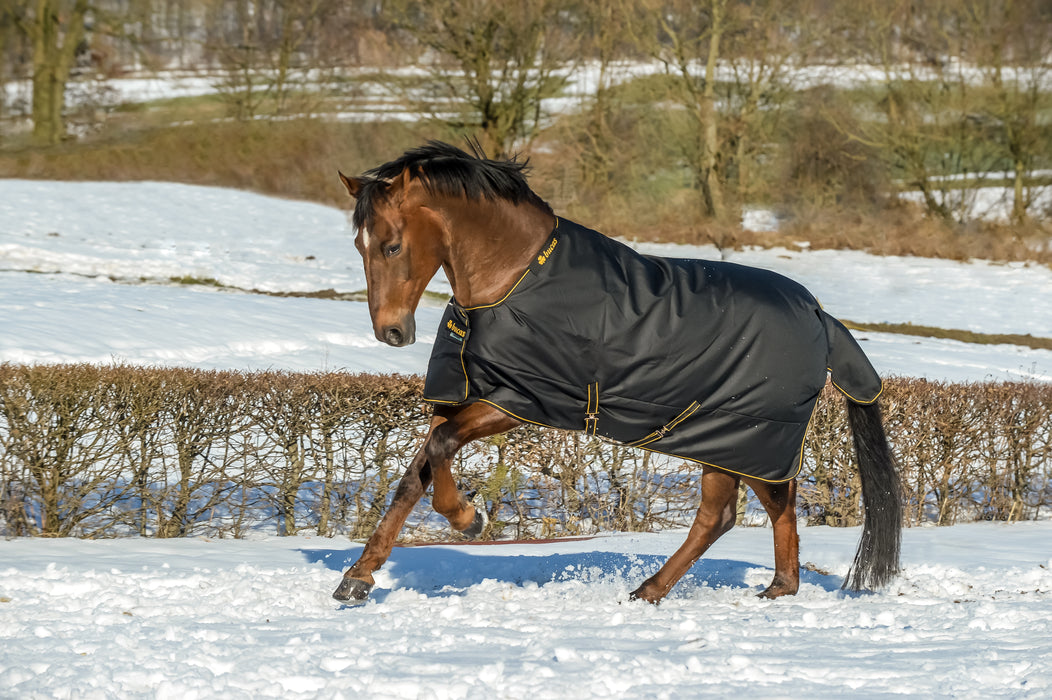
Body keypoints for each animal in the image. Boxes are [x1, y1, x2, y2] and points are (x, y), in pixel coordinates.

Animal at [333, 141, 902, 605]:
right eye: (359, 245)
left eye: (391, 245)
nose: (391, 332)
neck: (514, 278)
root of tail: (821, 317)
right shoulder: (462, 397)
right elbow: (415, 474)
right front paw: (357, 578)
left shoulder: (519, 402)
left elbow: (442, 447)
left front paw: (471, 520)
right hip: (736, 444)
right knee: (765, 508)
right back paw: (770, 588)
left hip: (744, 439)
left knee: (726, 515)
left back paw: (654, 590)